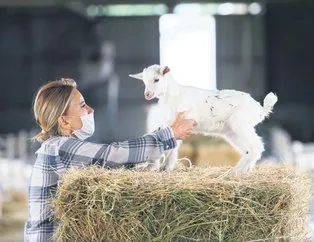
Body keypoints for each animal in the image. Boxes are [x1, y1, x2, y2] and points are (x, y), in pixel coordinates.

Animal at [129, 65, 278, 173]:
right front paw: (163, 167)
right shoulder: (170, 122)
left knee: (256, 146)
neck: (173, 95)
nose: (147, 94)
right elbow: (169, 144)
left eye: (156, 79)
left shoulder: (183, 120)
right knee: (249, 149)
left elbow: (173, 146)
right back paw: (242, 170)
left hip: (240, 123)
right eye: (144, 81)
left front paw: (166, 167)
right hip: (232, 132)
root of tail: (260, 108)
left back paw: (238, 171)